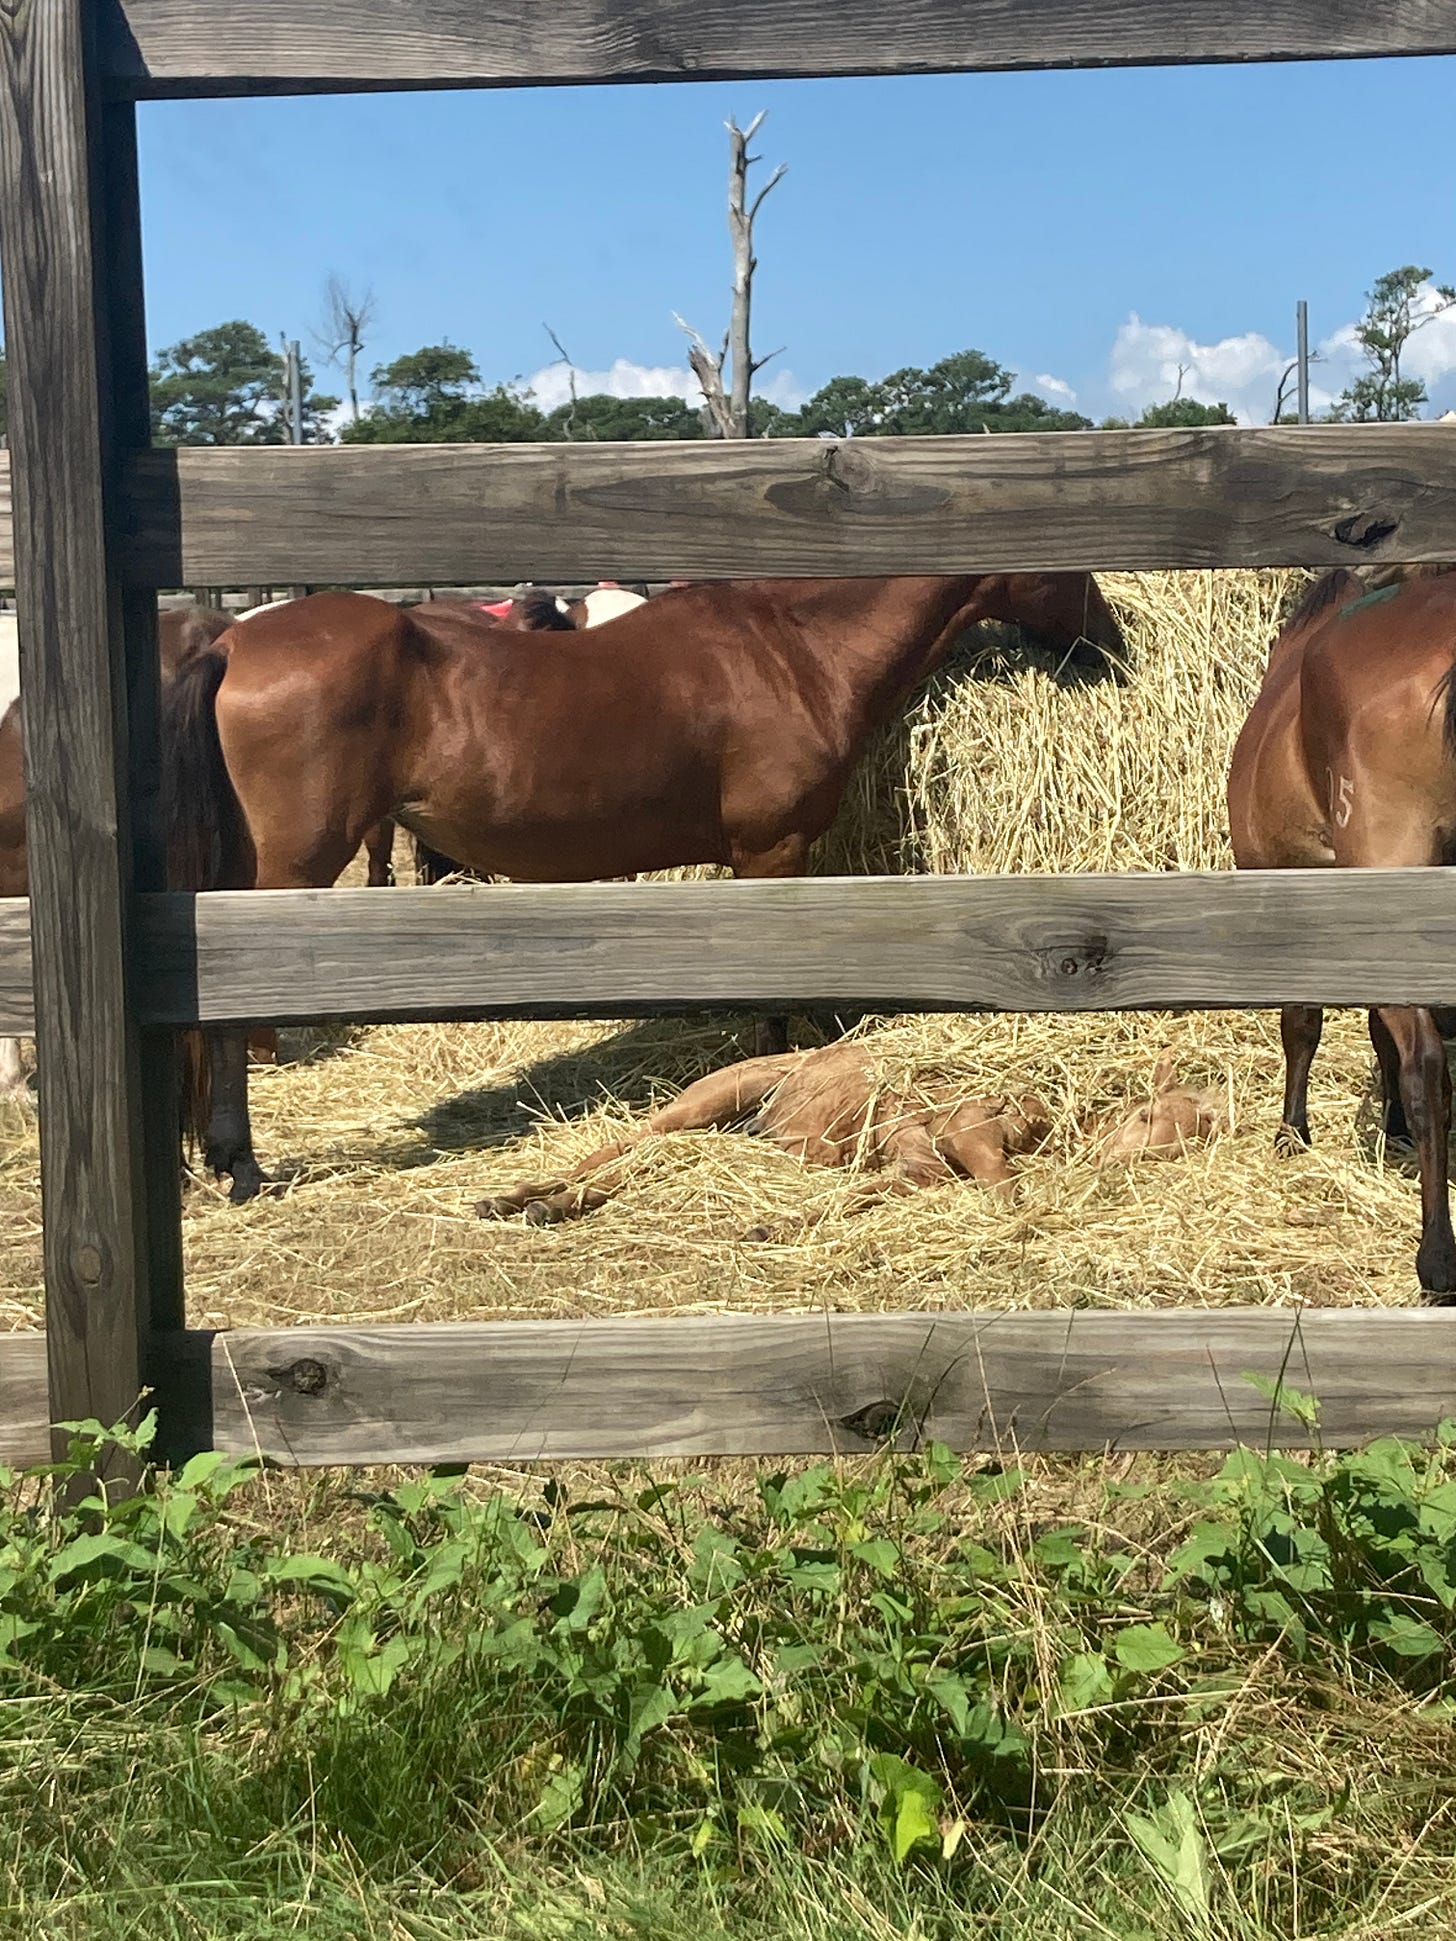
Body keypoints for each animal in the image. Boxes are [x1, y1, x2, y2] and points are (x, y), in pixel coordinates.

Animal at [167, 566, 1125, 1195]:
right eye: (1072, 560)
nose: (1113, 646)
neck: (794, 649)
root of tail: (231, 636)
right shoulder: (771, 852)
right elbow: (773, 998)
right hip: (288, 871)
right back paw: (241, 1163)